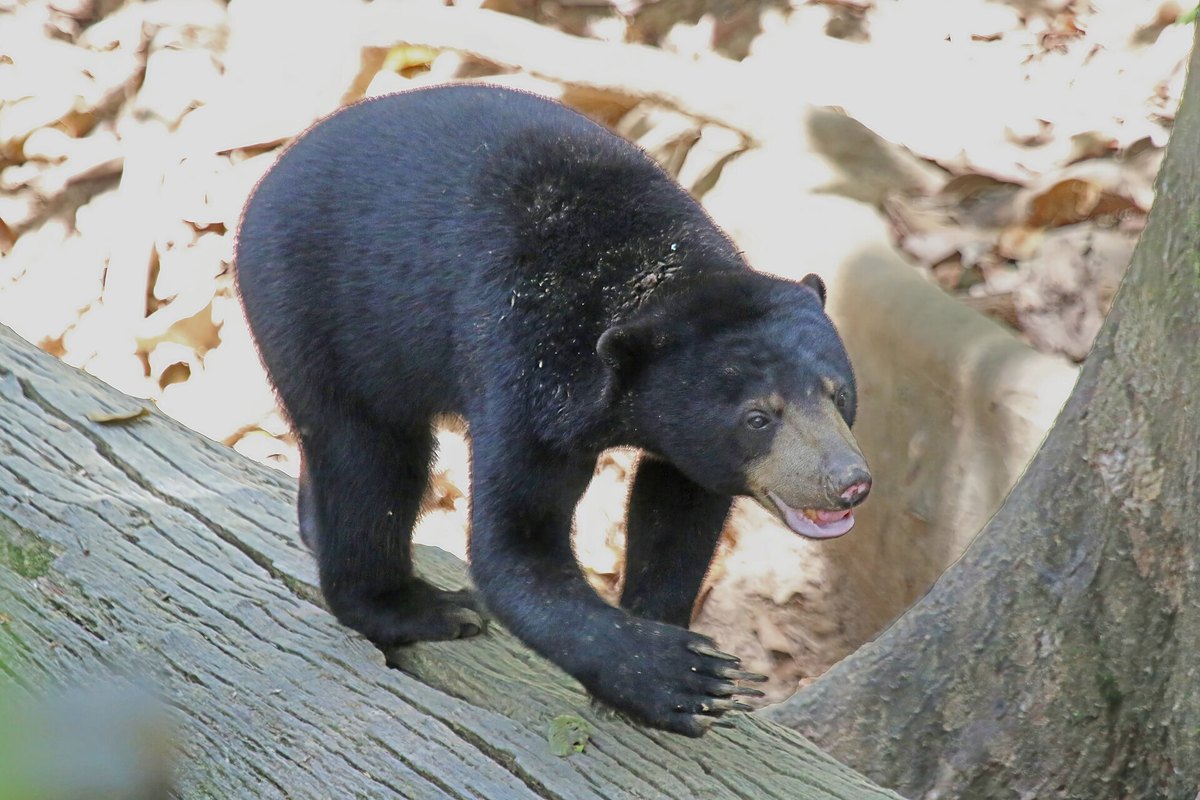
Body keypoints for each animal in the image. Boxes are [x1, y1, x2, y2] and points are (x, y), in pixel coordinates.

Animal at [235, 84, 871, 737]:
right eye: (757, 417)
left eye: (838, 394)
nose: (848, 483)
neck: (651, 265)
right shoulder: (526, 371)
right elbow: (517, 544)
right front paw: (676, 677)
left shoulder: (680, 440)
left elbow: (679, 512)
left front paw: (668, 640)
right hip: (319, 317)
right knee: (368, 462)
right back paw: (419, 607)